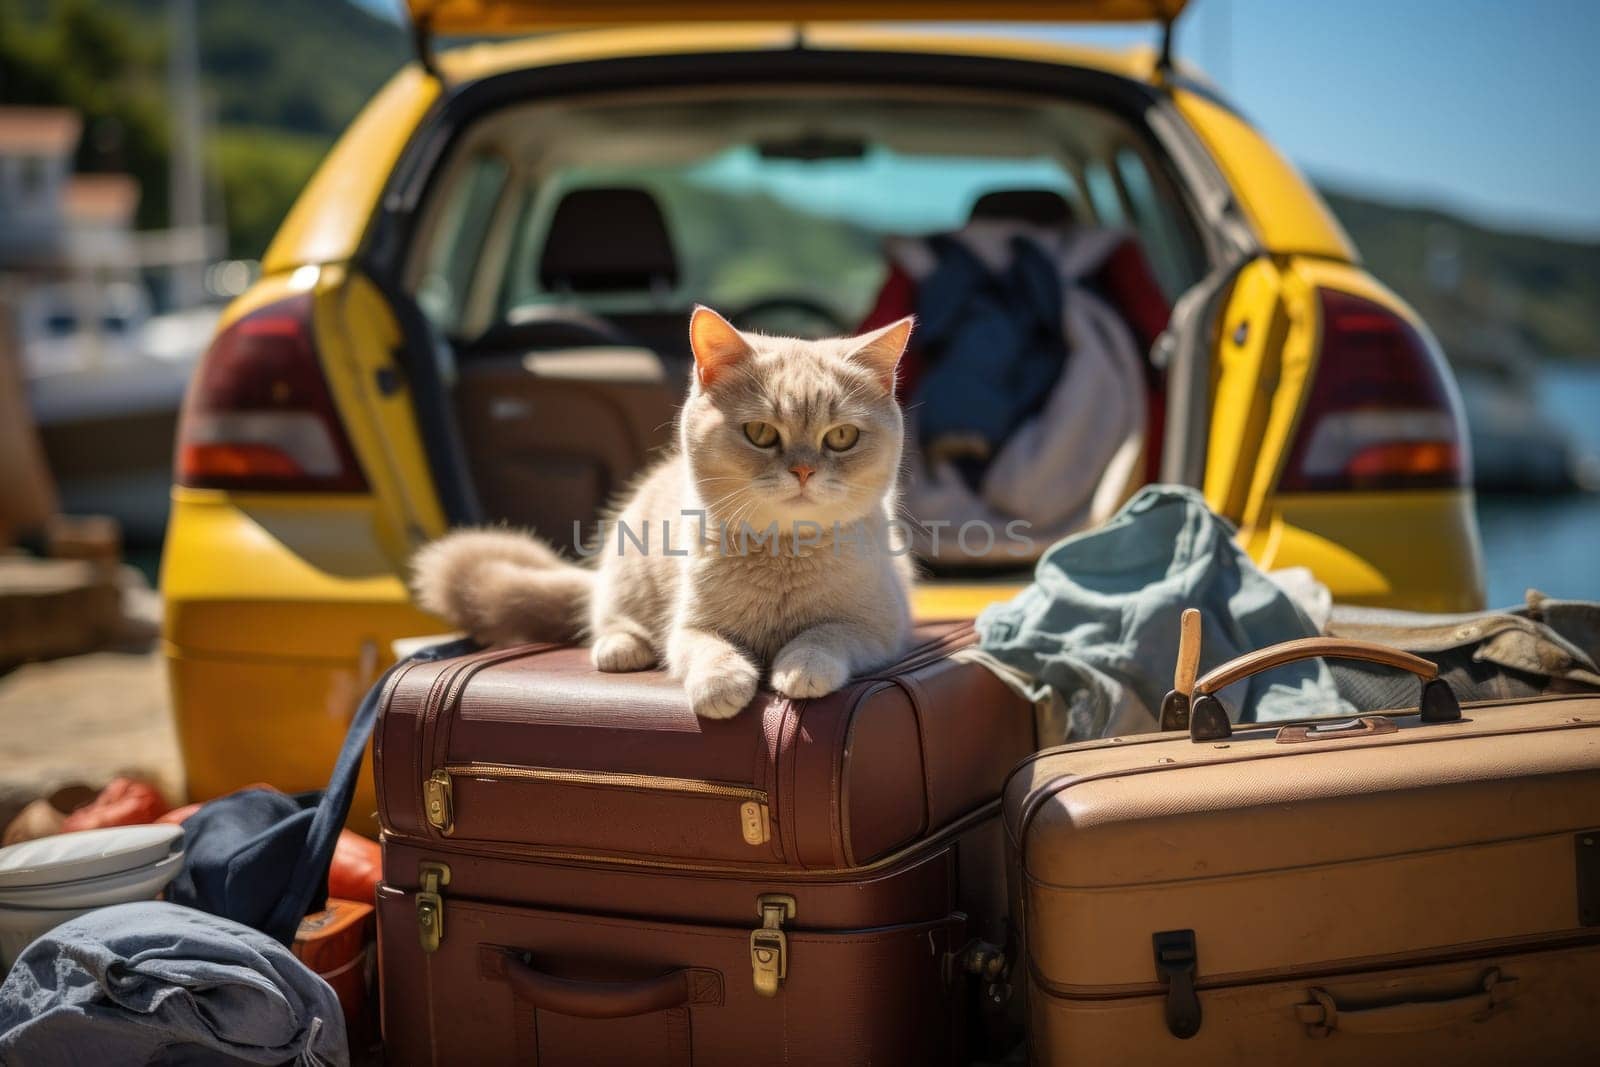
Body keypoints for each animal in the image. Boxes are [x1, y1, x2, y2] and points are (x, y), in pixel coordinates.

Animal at [412, 303, 915, 723]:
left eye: (842, 437)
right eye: (760, 433)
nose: (804, 470)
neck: (783, 554)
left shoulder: (881, 627)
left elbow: (826, 634)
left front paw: (801, 666)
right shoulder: (689, 625)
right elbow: (706, 648)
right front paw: (721, 683)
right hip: (626, 571)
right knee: (607, 617)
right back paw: (621, 647)